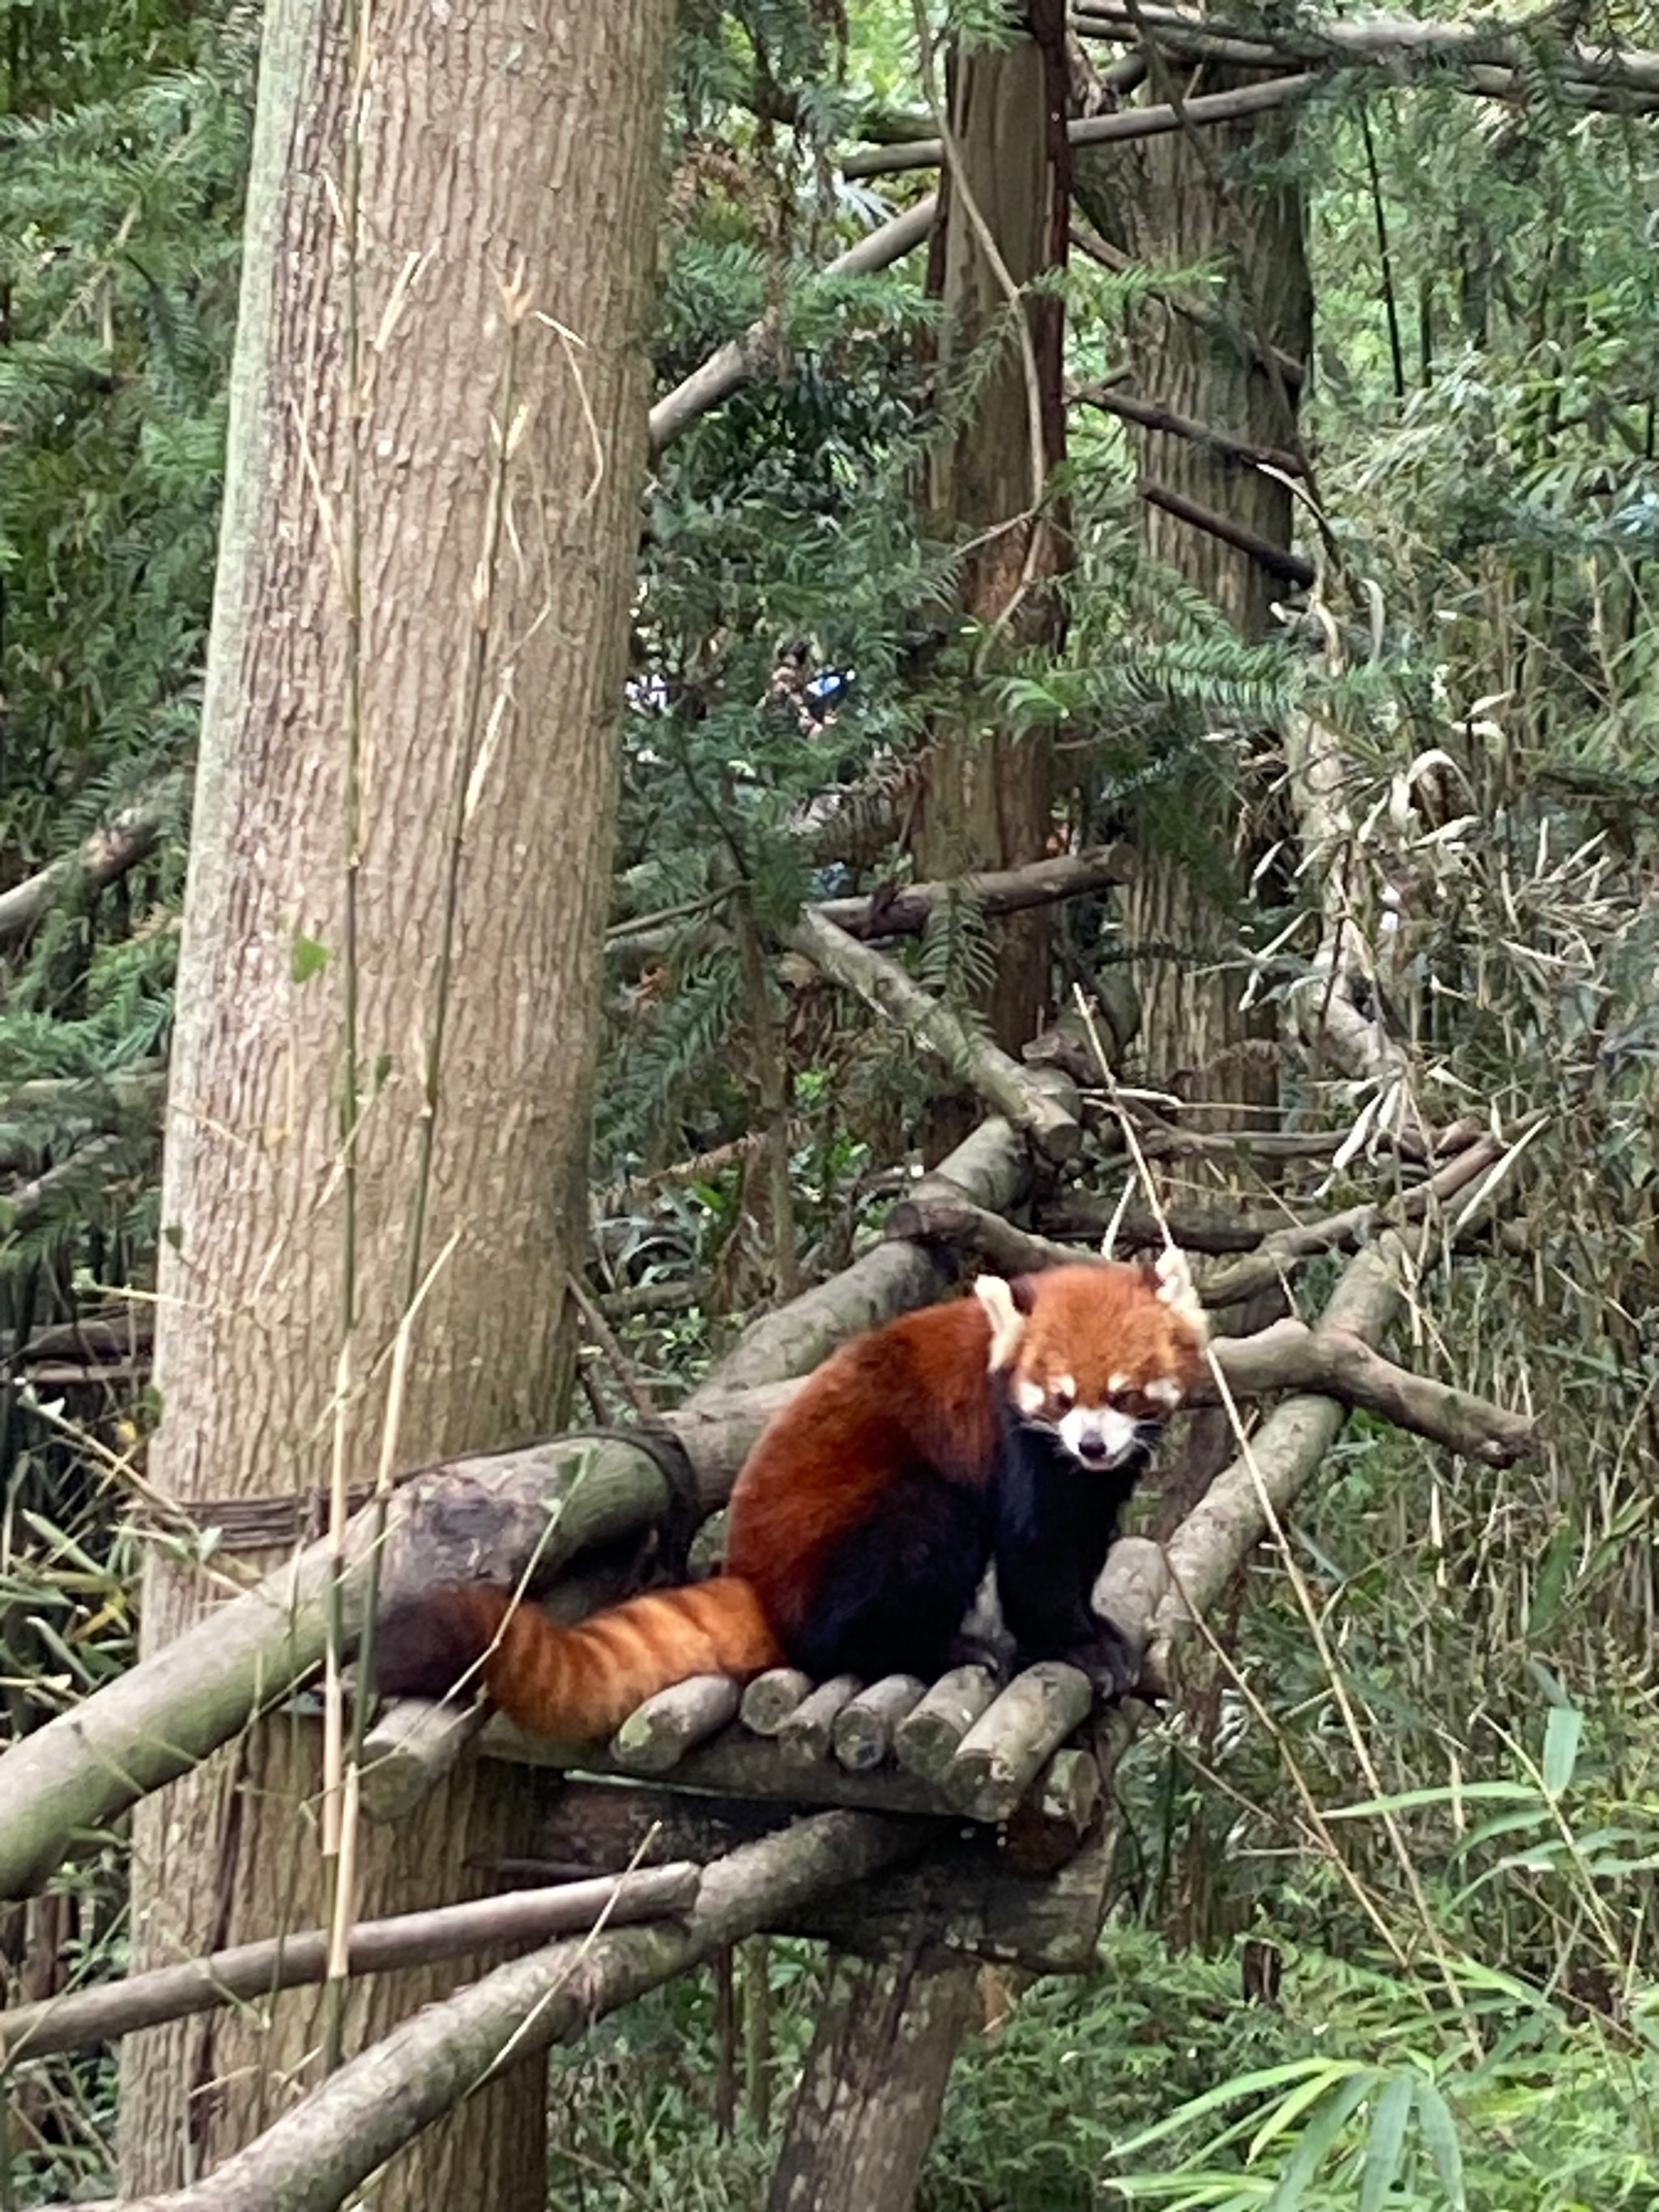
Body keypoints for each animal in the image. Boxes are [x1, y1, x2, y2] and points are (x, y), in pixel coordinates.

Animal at [373, 1265, 1212, 1743]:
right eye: (1059, 1396)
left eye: (1124, 1395)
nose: (1093, 1445)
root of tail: (760, 1582)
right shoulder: (1013, 1445)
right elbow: (1034, 1553)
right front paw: (1073, 1645)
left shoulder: (1092, 1481)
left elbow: (1083, 1538)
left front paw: (1098, 1627)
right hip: (854, 1544)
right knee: (912, 1538)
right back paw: (932, 1648)